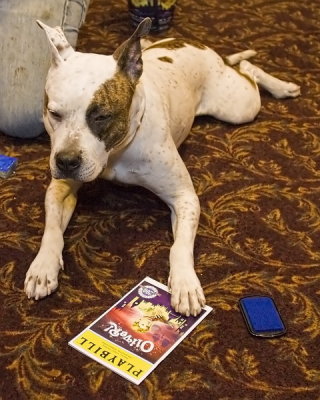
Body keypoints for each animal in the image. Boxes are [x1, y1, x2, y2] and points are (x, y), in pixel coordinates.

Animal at [24, 17, 300, 316]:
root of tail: (197, 44)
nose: (66, 161)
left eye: (101, 116)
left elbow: (179, 247)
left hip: (239, 108)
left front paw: (185, 283)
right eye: (54, 113)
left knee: (248, 69)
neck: (116, 153)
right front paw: (43, 267)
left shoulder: (184, 198)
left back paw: (281, 86)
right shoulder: (60, 189)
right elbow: (52, 228)